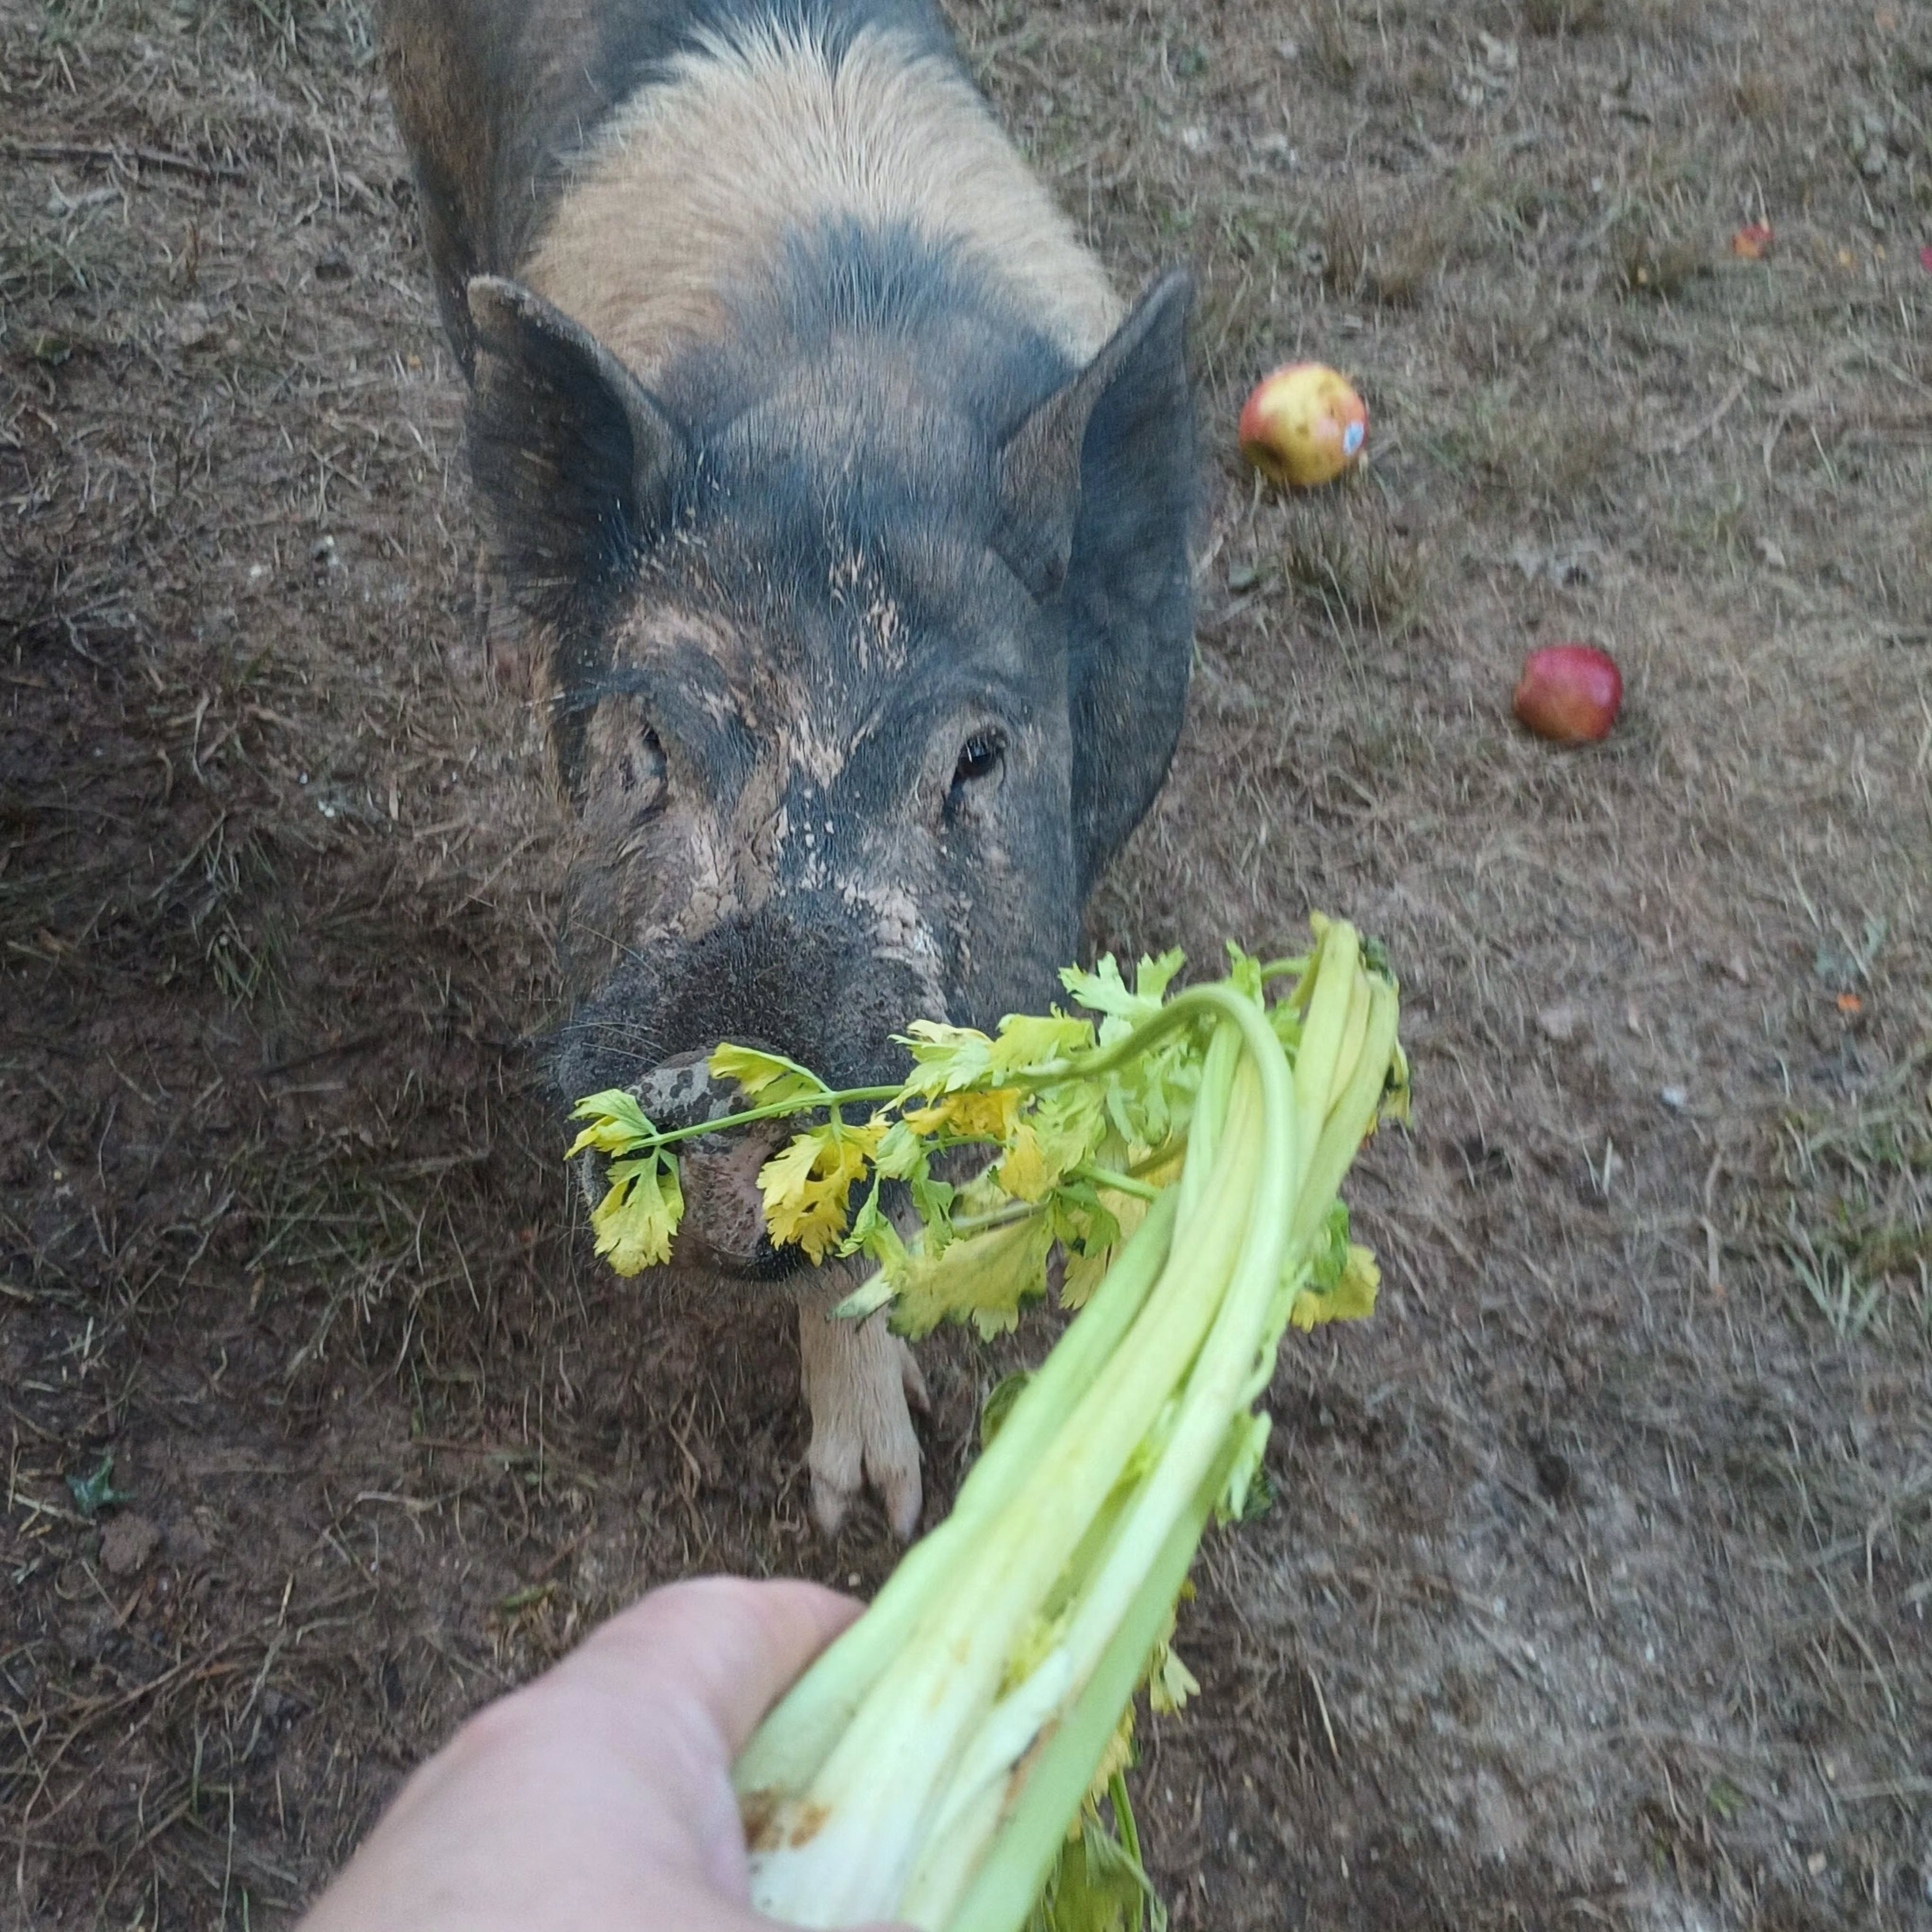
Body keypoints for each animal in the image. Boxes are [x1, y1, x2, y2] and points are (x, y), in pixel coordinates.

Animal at [380, 0, 1200, 1538]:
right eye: (649, 741)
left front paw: (885, 1505)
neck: (851, 413)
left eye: (978, 757)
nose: (728, 1096)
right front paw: (862, 1506)